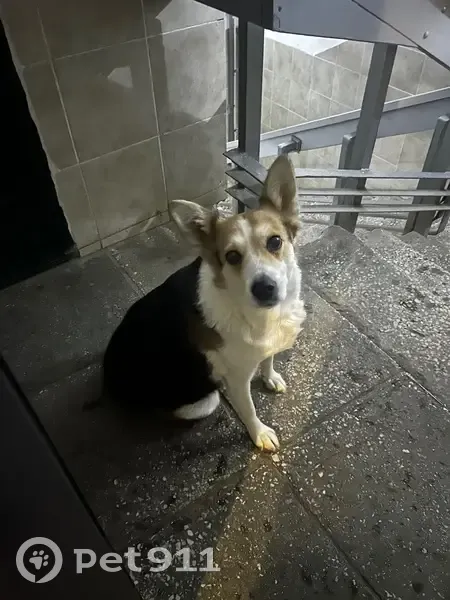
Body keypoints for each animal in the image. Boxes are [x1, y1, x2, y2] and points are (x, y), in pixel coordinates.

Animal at [103, 155, 306, 452]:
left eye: (275, 241)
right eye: (232, 256)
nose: (264, 288)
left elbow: (268, 357)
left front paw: (270, 375)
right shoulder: (237, 378)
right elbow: (248, 409)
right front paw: (258, 433)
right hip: (203, 400)